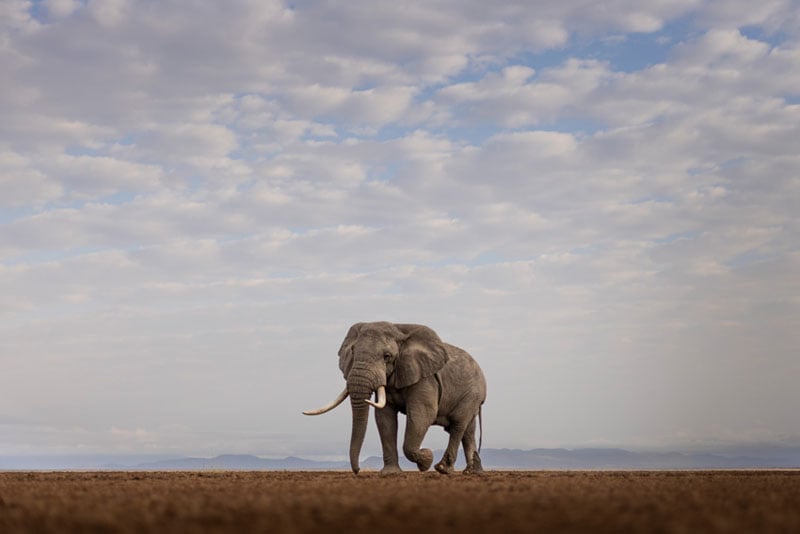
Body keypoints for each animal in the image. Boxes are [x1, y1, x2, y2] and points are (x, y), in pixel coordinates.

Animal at [304, 321, 486, 475]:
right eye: (353, 352)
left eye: (387, 356)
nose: (358, 470)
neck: (399, 331)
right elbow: (384, 418)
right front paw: (390, 473)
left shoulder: (424, 378)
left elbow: (422, 414)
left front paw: (426, 460)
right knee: (468, 432)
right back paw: (472, 473)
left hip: (472, 394)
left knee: (457, 425)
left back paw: (443, 469)